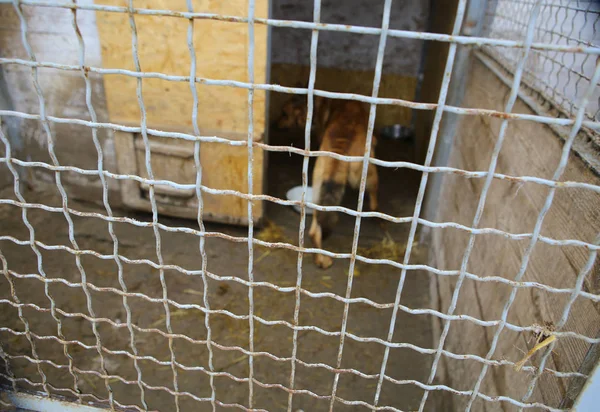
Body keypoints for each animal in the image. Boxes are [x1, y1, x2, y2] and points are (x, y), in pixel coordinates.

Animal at [276, 96, 378, 270]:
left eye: (284, 113)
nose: (275, 124)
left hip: (319, 185)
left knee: (314, 230)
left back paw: (321, 260)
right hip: (368, 172)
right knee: (373, 191)